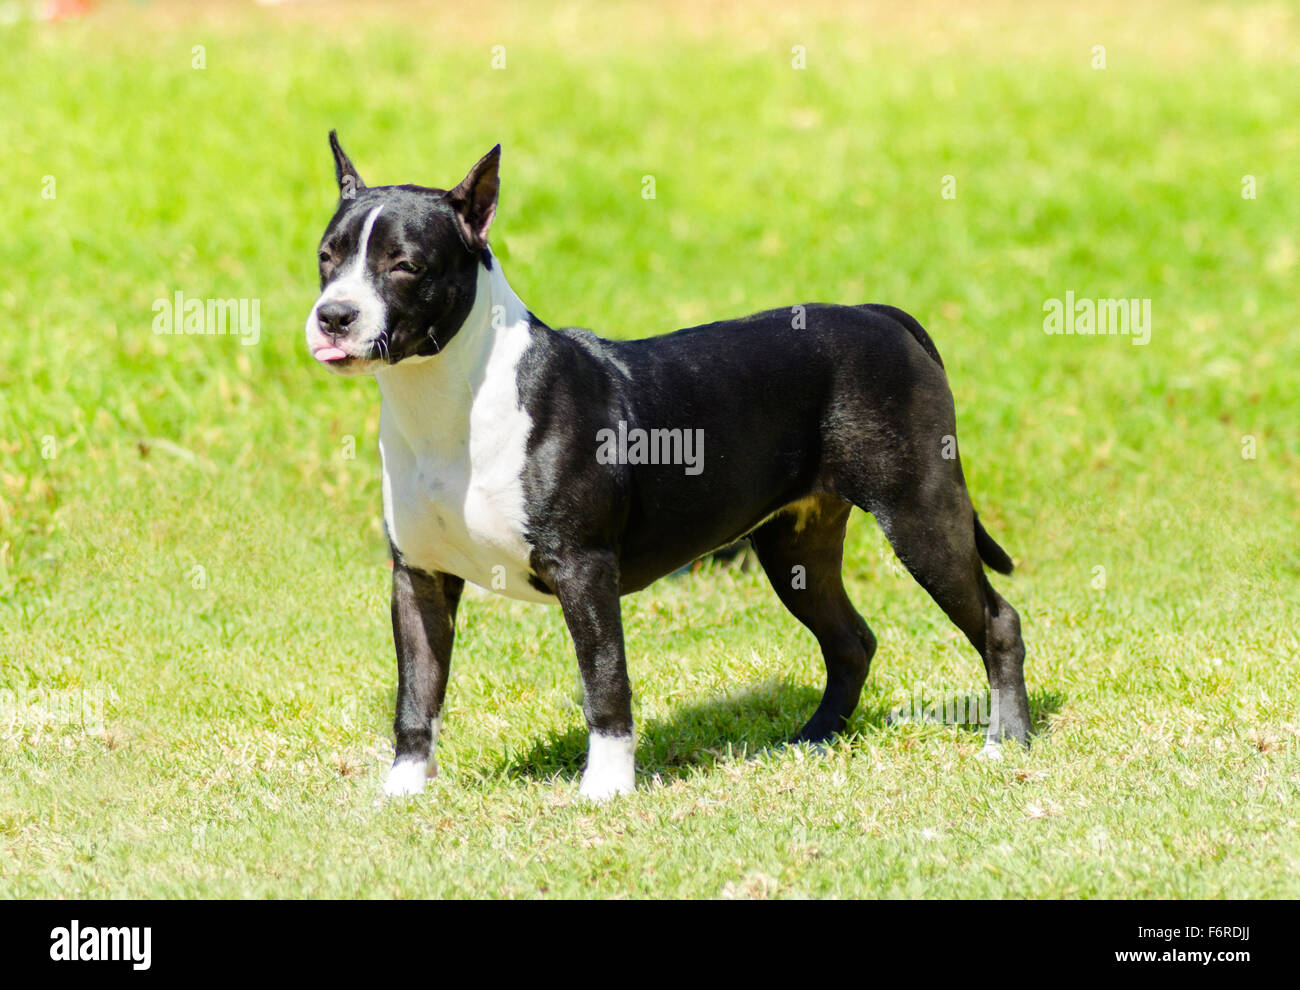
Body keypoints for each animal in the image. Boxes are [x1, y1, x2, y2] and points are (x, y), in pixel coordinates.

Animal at [306, 131, 1034, 800]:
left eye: (406, 265)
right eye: (326, 258)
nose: (334, 315)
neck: (445, 397)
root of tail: (878, 314)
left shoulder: (583, 568)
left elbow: (604, 681)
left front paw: (605, 789)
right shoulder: (419, 578)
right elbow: (417, 691)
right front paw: (402, 790)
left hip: (919, 514)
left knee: (997, 620)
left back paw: (1007, 741)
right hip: (794, 546)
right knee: (850, 639)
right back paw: (815, 738)